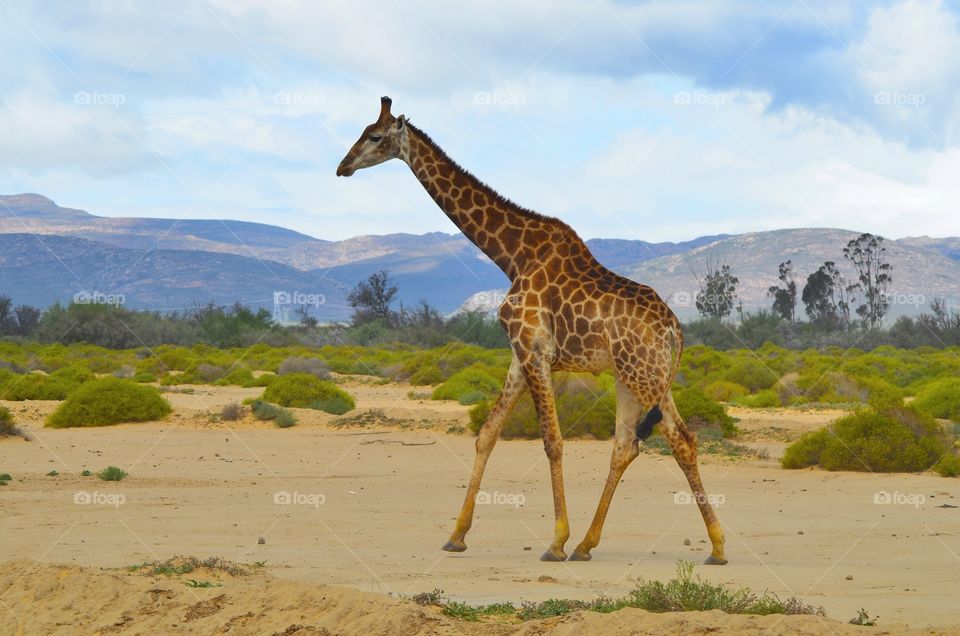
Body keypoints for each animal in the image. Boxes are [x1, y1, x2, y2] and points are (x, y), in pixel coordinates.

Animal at [338, 94, 728, 560]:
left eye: (375, 136)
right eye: (362, 132)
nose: (342, 166)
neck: (511, 255)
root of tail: (675, 329)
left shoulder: (534, 351)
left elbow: (552, 441)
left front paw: (556, 540)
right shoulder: (517, 355)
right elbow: (487, 434)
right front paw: (457, 535)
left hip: (640, 375)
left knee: (663, 440)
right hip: (640, 377)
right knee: (640, 443)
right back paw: (613, 544)